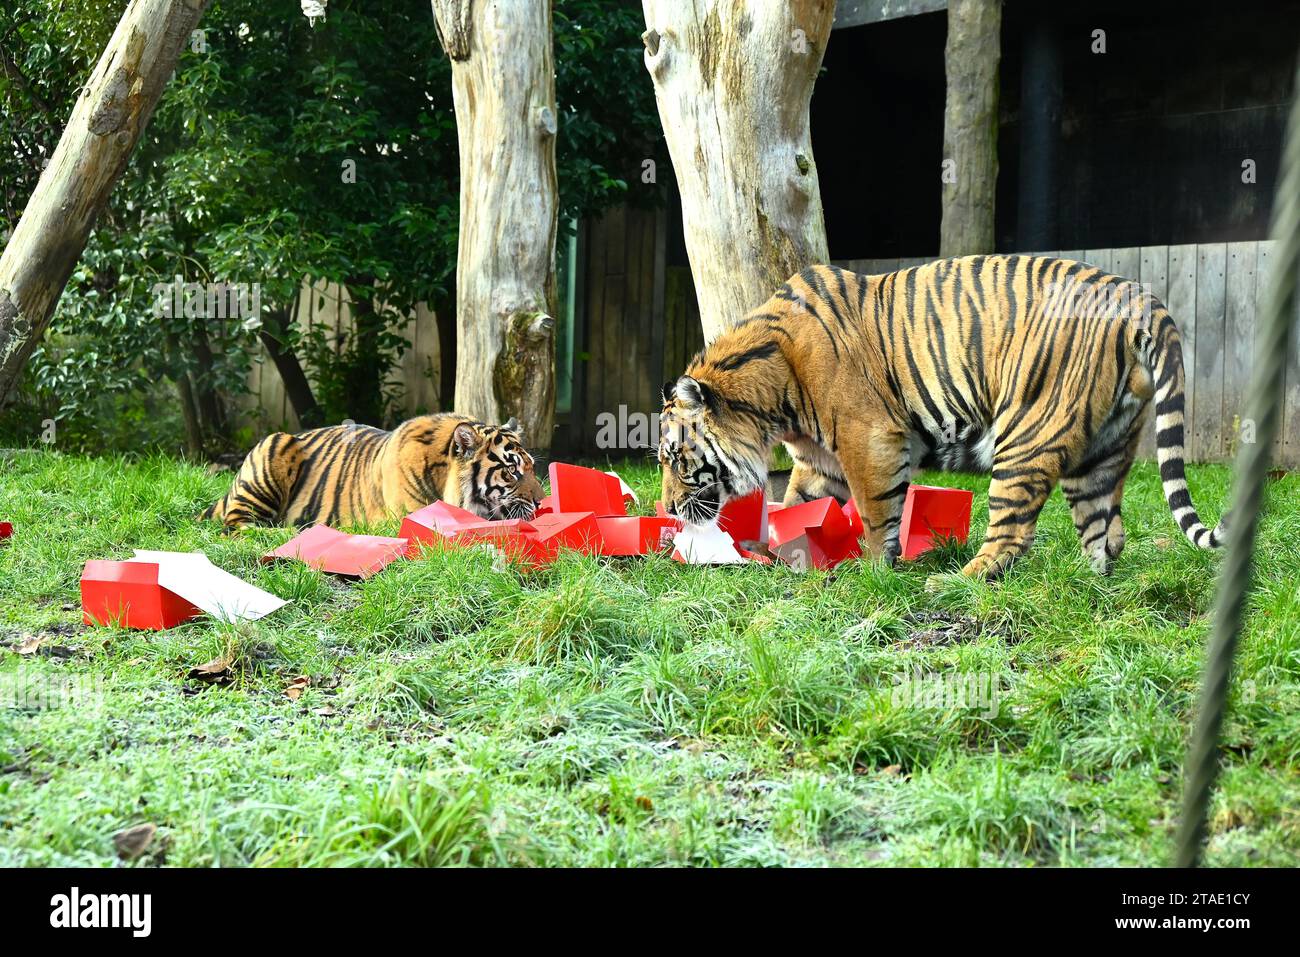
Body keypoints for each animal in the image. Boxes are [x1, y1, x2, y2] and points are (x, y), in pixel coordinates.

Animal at [660, 254, 1227, 579]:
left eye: (675, 459)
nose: (665, 508)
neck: (772, 399)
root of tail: (1135, 295)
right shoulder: (821, 459)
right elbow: (798, 502)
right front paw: (769, 549)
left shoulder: (871, 440)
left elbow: (875, 513)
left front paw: (874, 574)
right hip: (1102, 450)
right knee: (1106, 533)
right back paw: (1086, 589)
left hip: (1026, 434)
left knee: (1013, 534)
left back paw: (954, 581)